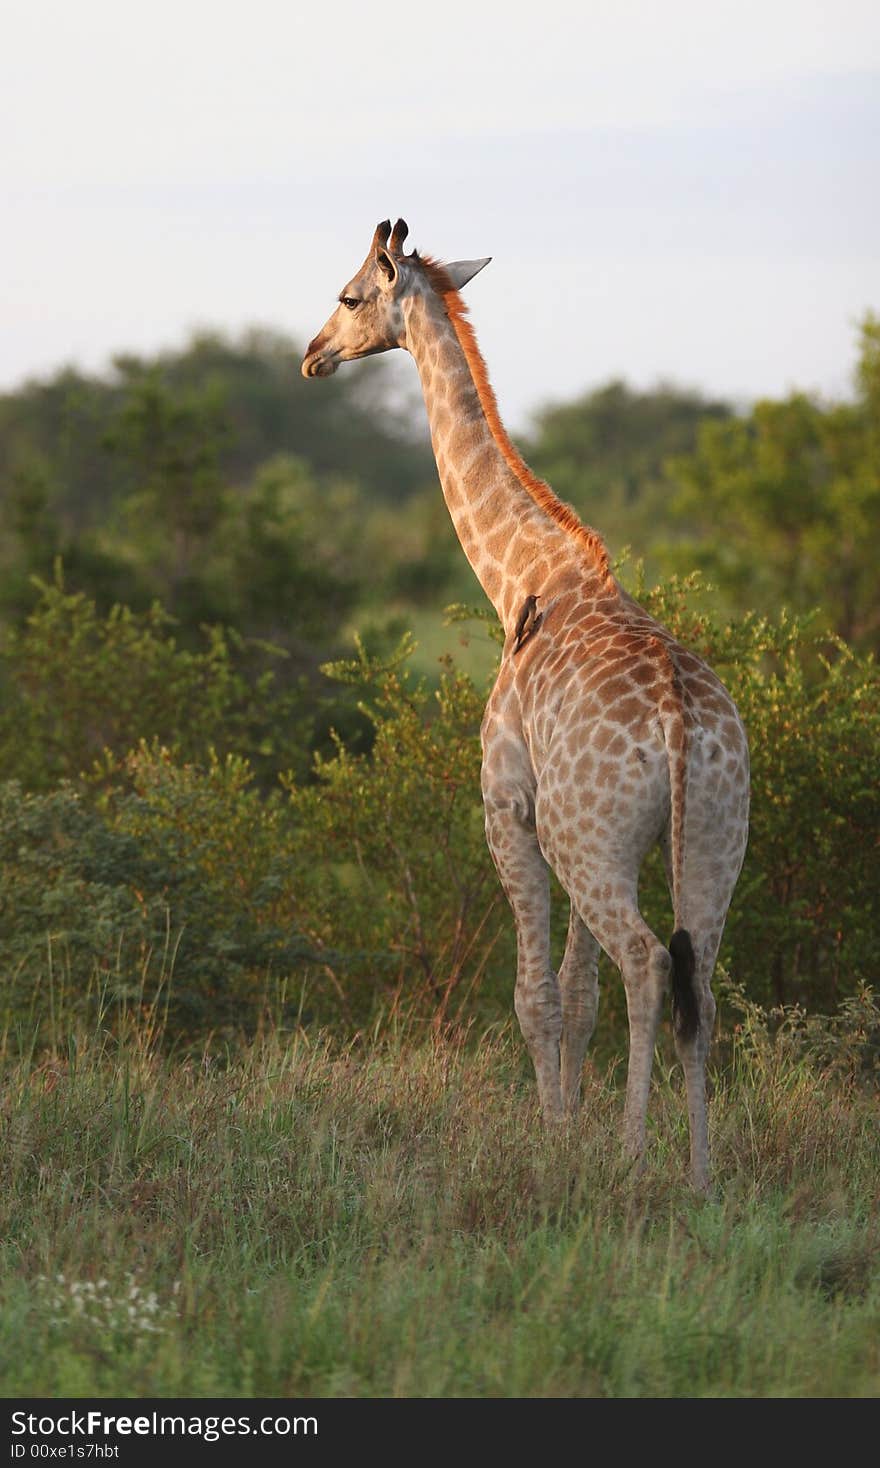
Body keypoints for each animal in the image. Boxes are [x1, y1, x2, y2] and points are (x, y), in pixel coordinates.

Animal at [302, 217, 749, 1186]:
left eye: (350, 295)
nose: (313, 355)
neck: (522, 577)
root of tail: (681, 723)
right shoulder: (573, 827)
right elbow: (577, 993)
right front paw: (571, 1124)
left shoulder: (510, 806)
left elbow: (534, 993)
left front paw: (555, 1137)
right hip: (709, 837)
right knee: (696, 974)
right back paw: (699, 1173)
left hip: (592, 838)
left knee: (648, 964)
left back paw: (633, 1159)